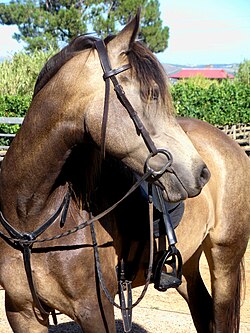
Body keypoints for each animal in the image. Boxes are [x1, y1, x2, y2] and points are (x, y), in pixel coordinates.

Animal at [0, 11, 211, 332]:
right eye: (151, 93)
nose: (200, 172)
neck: (30, 220)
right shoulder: (20, 313)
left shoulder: (96, 312)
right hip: (188, 266)